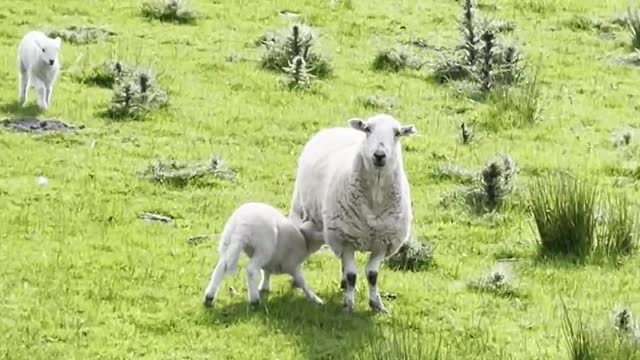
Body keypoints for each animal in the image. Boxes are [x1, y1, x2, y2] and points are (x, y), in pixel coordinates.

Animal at [288, 113, 418, 312]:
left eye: (397, 134)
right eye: (367, 129)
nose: (379, 155)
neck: (375, 199)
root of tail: (335, 129)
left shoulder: (382, 242)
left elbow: (372, 275)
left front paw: (376, 304)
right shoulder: (345, 239)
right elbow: (352, 275)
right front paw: (349, 306)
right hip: (301, 211)